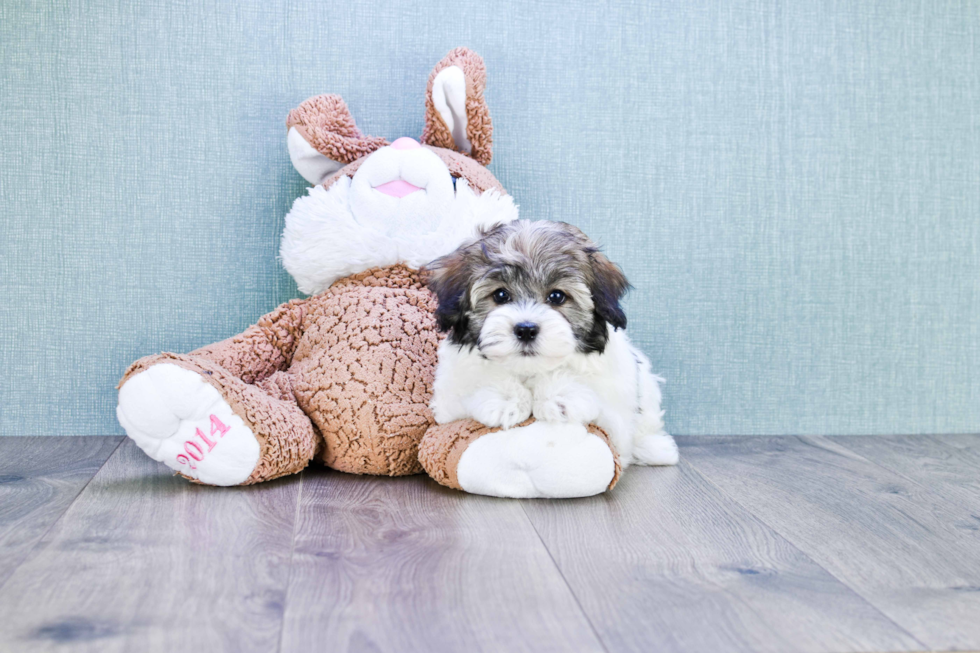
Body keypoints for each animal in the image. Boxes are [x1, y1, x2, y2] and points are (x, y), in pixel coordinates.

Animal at [424, 219, 676, 468]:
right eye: (501, 295)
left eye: (557, 296)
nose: (526, 329)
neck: (531, 370)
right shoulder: (449, 399)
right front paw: (504, 399)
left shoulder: (616, 408)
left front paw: (560, 395)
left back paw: (655, 448)